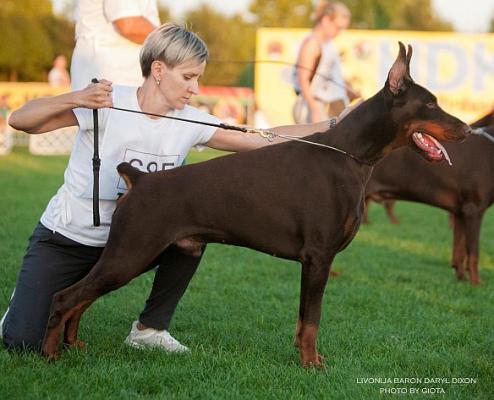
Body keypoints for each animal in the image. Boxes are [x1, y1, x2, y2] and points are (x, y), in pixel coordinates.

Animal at [42, 43, 470, 366]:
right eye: (430, 105)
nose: (467, 129)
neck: (351, 156)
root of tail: (141, 178)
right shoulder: (319, 257)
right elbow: (313, 319)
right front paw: (311, 364)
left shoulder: (315, 262)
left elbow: (303, 320)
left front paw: (305, 357)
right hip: (132, 250)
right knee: (65, 296)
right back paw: (50, 354)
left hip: (140, 252)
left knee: (82, 297)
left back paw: (74, 344)